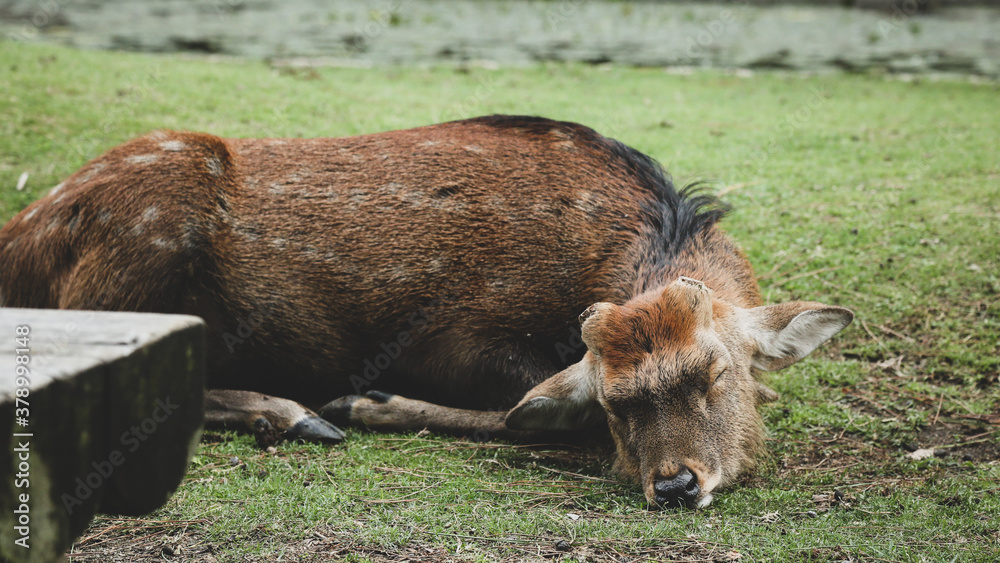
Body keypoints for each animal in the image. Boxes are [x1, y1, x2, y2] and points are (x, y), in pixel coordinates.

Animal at [0, 115, 853, 509]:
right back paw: (297, 412)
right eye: (617, 403)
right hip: (142, 229)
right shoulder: (454, 332)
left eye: (718, 370)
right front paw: (365, 400)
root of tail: (24, 234)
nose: (676, 483)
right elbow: (528, 413)